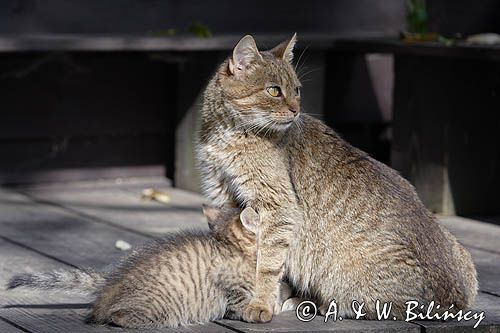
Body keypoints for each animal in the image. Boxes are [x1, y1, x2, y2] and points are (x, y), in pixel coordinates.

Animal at [195, 34, 476, 322]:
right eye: (274, 91)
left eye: (296, 90)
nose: (296, 110)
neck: (227, 135)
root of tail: (455, 298)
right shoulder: (225, 196)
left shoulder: (277, 208)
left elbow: (267, 264)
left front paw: (261, 303)